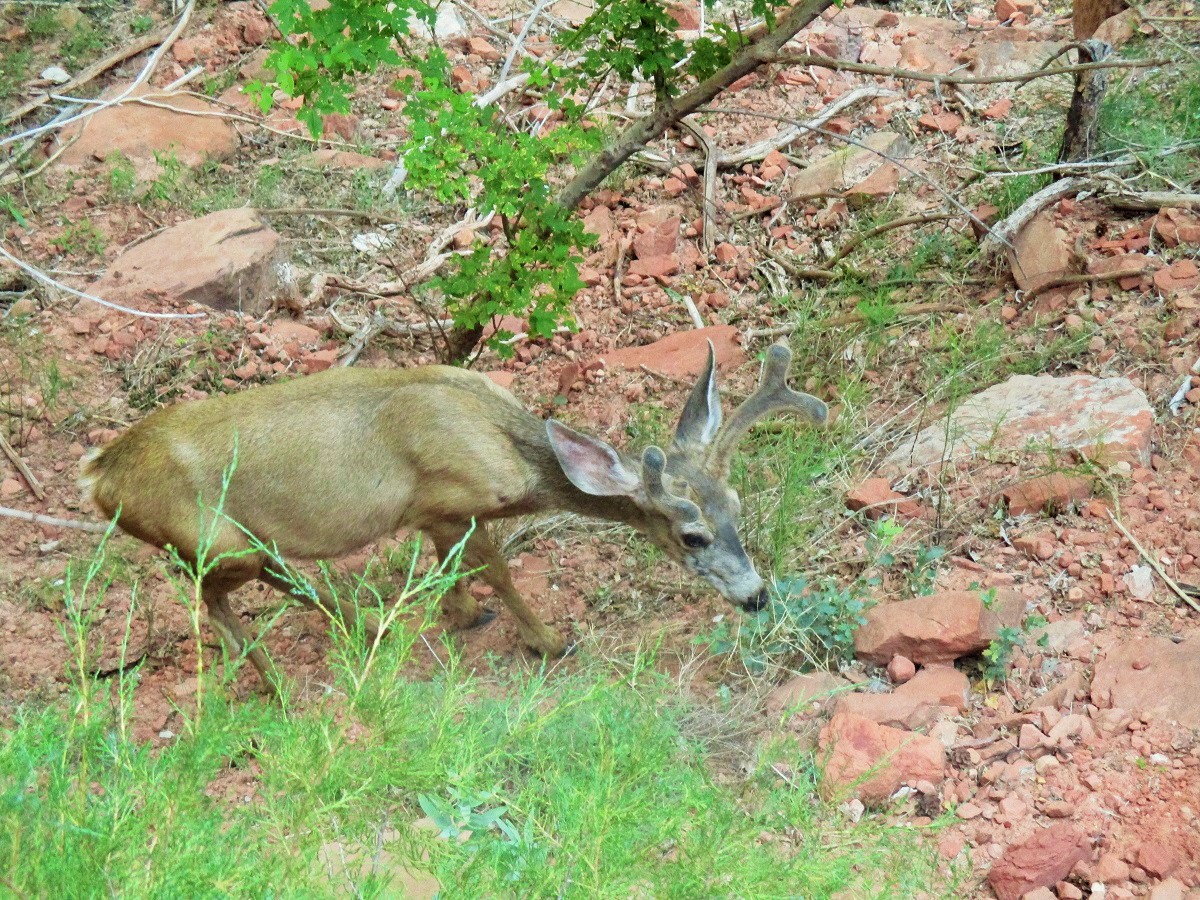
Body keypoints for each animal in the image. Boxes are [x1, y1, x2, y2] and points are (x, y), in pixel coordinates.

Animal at [80, 339, 826, 692]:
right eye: (691, 534)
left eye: (737, 506)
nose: (757, 596)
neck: (508, 449)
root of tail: (101, 479)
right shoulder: (442, 501)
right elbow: (494, 567)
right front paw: (548, 640)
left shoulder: (439, 517)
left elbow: (458, 571)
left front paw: (462, 616)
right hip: (212, 539)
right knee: (211, 596)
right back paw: (280, 683)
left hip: (238, 542)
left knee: (268, 576)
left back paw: (364, 627)